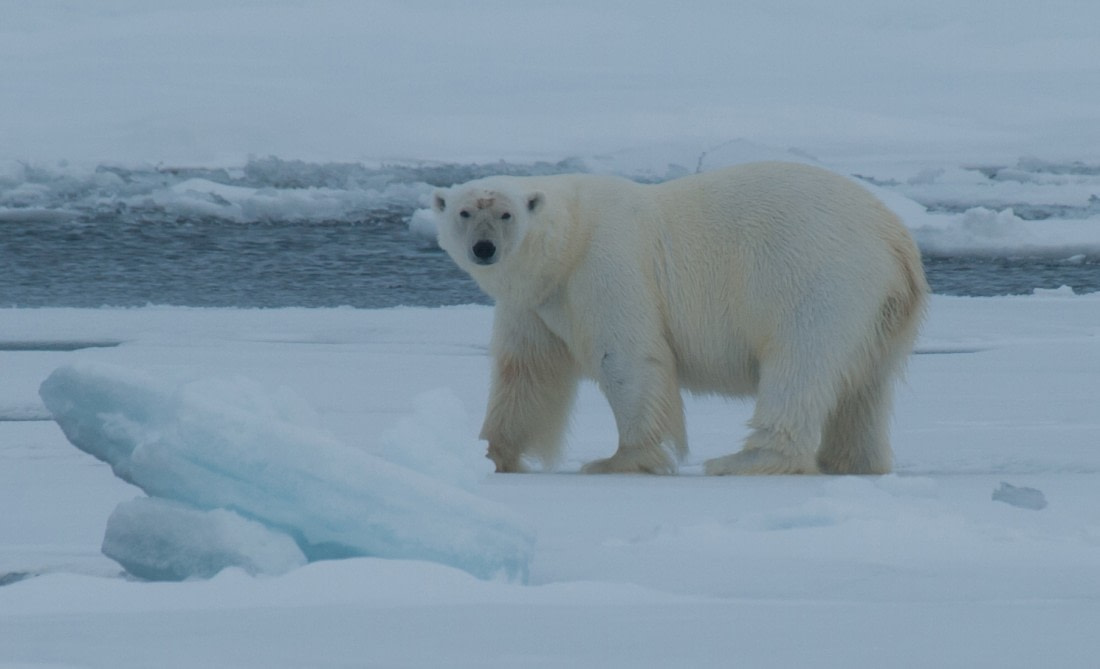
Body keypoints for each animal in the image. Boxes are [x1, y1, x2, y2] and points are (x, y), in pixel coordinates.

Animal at [432, 161, 926, 475]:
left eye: (505, 213)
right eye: (464, 211)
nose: (483, 248)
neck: (571, 238)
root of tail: (897, 241)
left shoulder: (605, 265)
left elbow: (626, 356)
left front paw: (617, 460)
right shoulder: (536, 302)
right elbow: (526, 372)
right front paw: (488, 453)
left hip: (818, 278)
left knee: (800, 365)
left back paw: (743, 461)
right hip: (881, 313)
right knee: (864, 387)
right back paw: (852, 461)